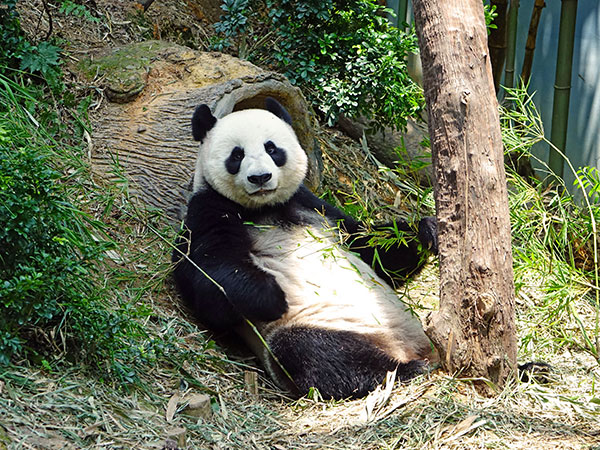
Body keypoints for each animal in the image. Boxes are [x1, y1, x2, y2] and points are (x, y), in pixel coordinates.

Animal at [171, 98, 438, 400]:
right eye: (236, 155)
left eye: (272, 148)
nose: (260, 177)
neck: (264, 208)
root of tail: (403, 347)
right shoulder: (208, 209)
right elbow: (208, 278)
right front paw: (271, 297)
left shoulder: (314, 206)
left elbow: (373, 250)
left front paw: (427, 231)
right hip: (321, 324)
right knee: (317, 353)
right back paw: (403, 370)